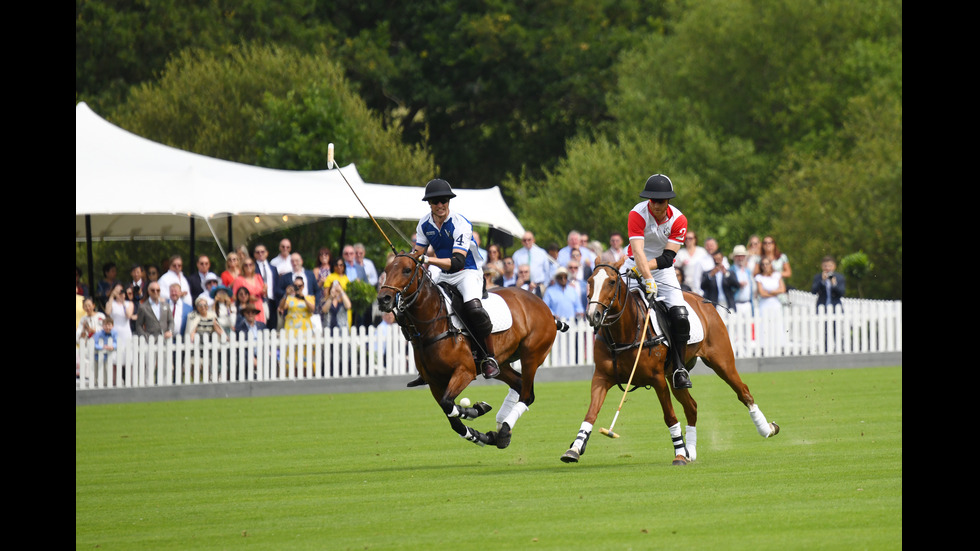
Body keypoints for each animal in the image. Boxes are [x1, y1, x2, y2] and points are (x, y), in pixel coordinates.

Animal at [378, 252, 572, 450]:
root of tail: (546, 308)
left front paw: (475, 410)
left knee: (526, 395)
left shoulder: (465, 371)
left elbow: (449, 405)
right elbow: (451, 417)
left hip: (532, 356)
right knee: (518, 384)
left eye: (407, 269)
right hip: (502, 363)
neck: (433, 324)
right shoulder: (434, 382)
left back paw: (503, 431)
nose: (383, 299)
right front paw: (479, 435)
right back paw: (499, 432)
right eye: (386, 269)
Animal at [564, 260, 776, 466]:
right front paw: (575, 448)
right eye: (590, 281)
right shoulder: (601, 377)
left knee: (743, 392)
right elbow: (591, 413)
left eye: (611, 282)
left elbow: (670, 417)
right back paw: (691, 451)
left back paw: (767, 429)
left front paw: (679, 454)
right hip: (675, 375)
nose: (593, 315)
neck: (624, 333)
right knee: (691, 406)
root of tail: (704, 301)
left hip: (722, 361)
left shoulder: (657, 379)